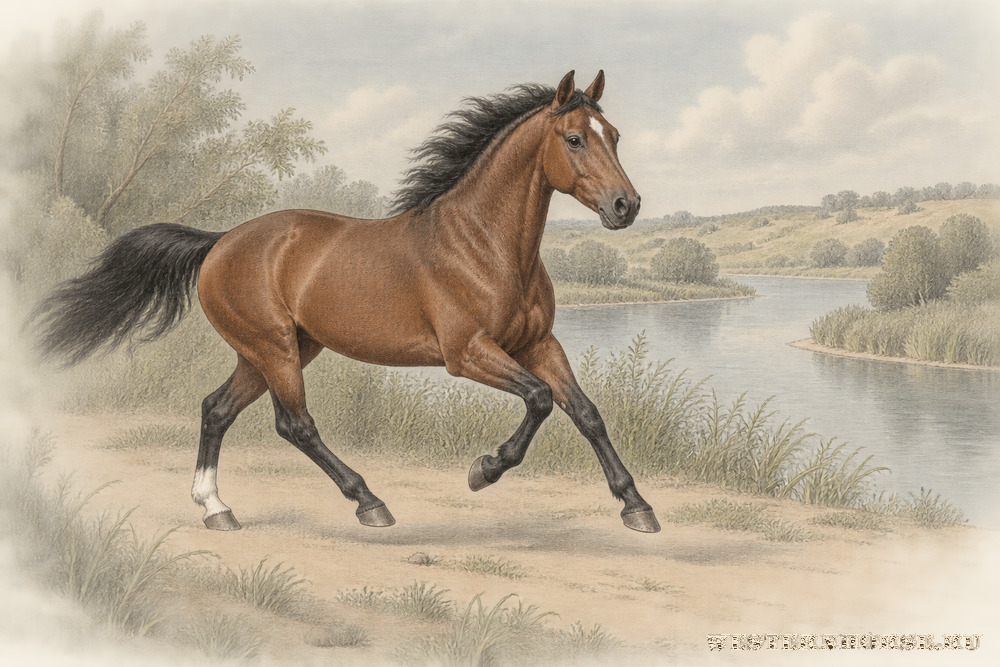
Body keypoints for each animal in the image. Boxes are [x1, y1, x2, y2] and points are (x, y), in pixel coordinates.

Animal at [32, 70, 660, 534]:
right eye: (574, 138)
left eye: (615, 135)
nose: (625, 206)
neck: (484, 243)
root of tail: (221, 241)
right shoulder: (467, 353)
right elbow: (539, 400)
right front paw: (483, 471)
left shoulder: (538, 344)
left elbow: (585, 412)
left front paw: (637, 507)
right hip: (275, 349)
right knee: (294, 424)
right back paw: (369, 503)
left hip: (274, 351)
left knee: (216, 409)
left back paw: (217, 509)